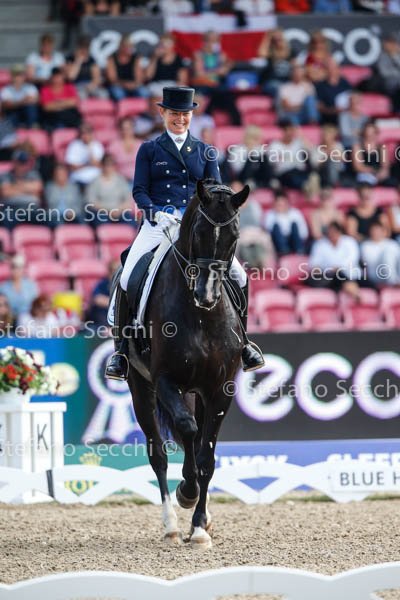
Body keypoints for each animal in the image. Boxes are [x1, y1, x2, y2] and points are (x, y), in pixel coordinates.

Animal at [126, 179, 250, 548]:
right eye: (198, 232)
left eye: (234, 236)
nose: (206, 296)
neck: (201, 318)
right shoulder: (165, 381)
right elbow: (187, 430)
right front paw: (187, 492)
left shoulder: (220, 389)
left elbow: (207, 455)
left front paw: (199, 527)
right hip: (140, 388)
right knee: (158, 453)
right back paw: (170, 524)